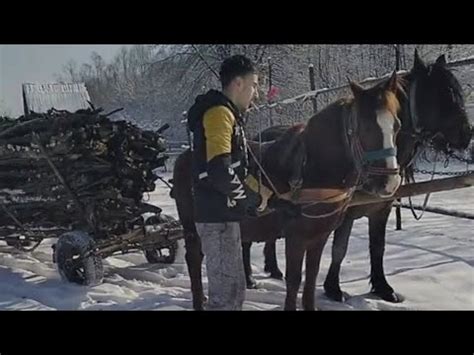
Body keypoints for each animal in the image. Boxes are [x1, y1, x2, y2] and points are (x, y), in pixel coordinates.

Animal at [172, 73, 402, 312]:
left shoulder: (319, 236)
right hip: (194, 229)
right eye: (365, 127)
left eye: (397, 125)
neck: (312, 168)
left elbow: (311, 277)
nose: (389, 182)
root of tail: (183, 158)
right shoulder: (296, 237)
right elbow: (294, 280)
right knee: (194, 259)